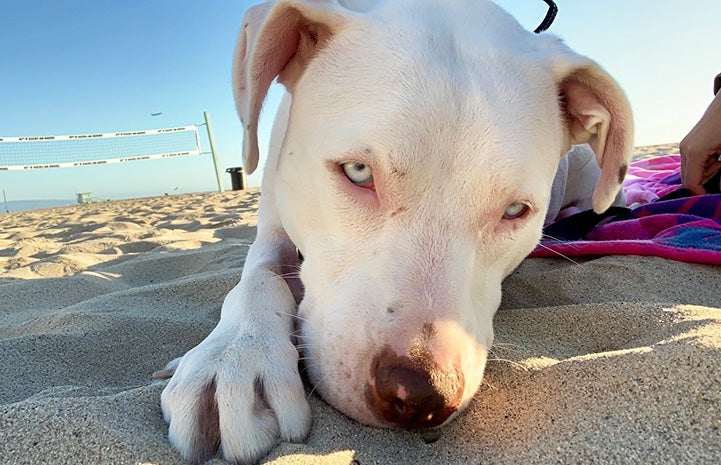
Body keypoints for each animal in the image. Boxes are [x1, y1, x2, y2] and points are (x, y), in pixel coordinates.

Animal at [158, 1, 632, 462]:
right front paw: (233, 356)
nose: (421, 395)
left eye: (515, 210)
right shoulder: (273, 223)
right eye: (357, 171)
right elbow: (258, 277)